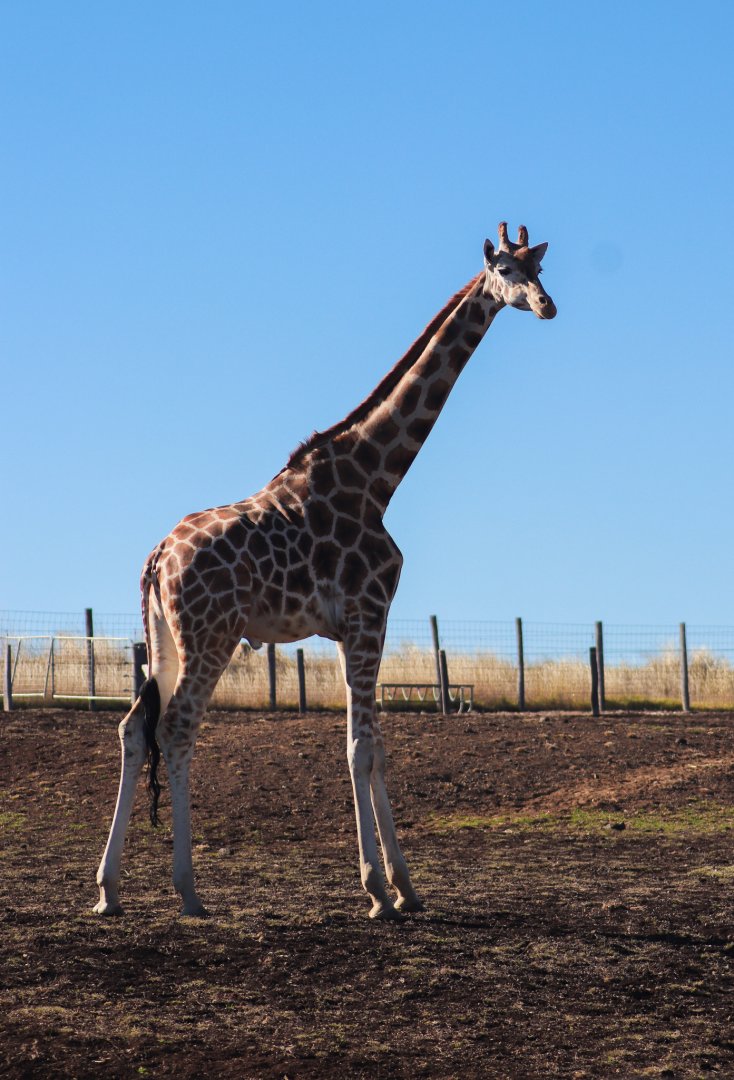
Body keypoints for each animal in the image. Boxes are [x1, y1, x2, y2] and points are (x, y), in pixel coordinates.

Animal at [95, 222, 556, 920]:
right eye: (505, 269)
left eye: (538, 267)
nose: (547, 305)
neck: (377, 478)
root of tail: (156, 557)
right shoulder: (370, 614)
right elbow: (359, 748)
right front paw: (378, 893)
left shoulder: (348, 630)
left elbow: (377, 747)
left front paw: (407, 887)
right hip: (212, 634)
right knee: (176, 729)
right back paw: (188, 891)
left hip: (166, 636)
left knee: (132, 728)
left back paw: (109, 891)